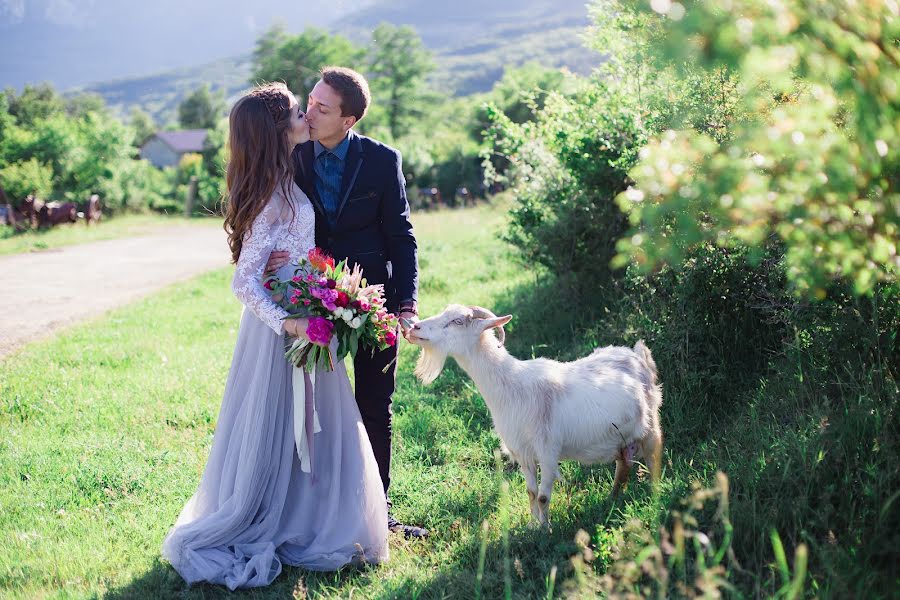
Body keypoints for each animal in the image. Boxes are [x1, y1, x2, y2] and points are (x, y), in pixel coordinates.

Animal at [408, 304, 660, 524]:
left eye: (457, 321)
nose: (414, 328)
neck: (513, 386)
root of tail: (637, 355)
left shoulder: (548, 451)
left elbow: (543, 496)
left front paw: (545, 530)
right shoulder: (522, 452)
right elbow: (530, 492)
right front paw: (532, 526)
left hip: (651, 427)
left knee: (653, 459)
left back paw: (655, 497)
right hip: (620, 439)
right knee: (623, 465)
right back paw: (612, 500)